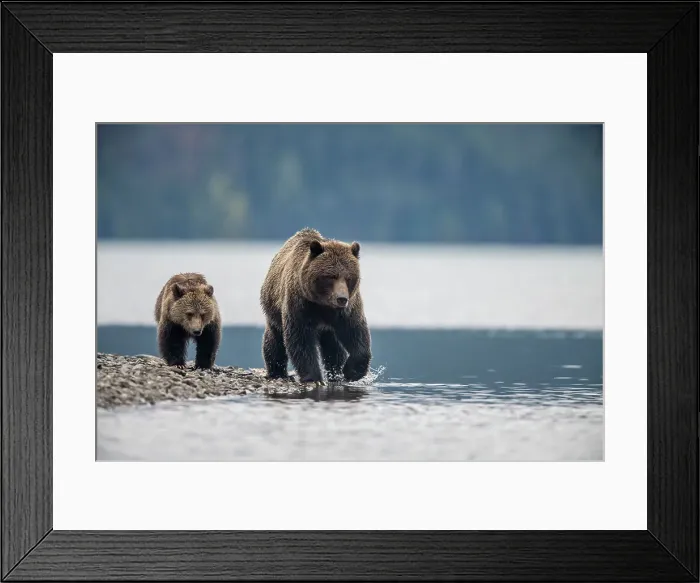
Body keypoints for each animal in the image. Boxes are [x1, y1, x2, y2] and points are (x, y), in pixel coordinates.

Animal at [260, 228, 372, 383]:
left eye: (349, 277)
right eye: (331, 276)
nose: (341, 299)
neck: (322, 304)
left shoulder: (347, 310)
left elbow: (356, 332)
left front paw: (352, 371)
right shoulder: (300, 305)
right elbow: (301, 341)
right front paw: (314, 377)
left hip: (328, 330)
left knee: (334, 348)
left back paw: (335, 373)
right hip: (273, 310)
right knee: (274, 341)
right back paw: (277, 372)